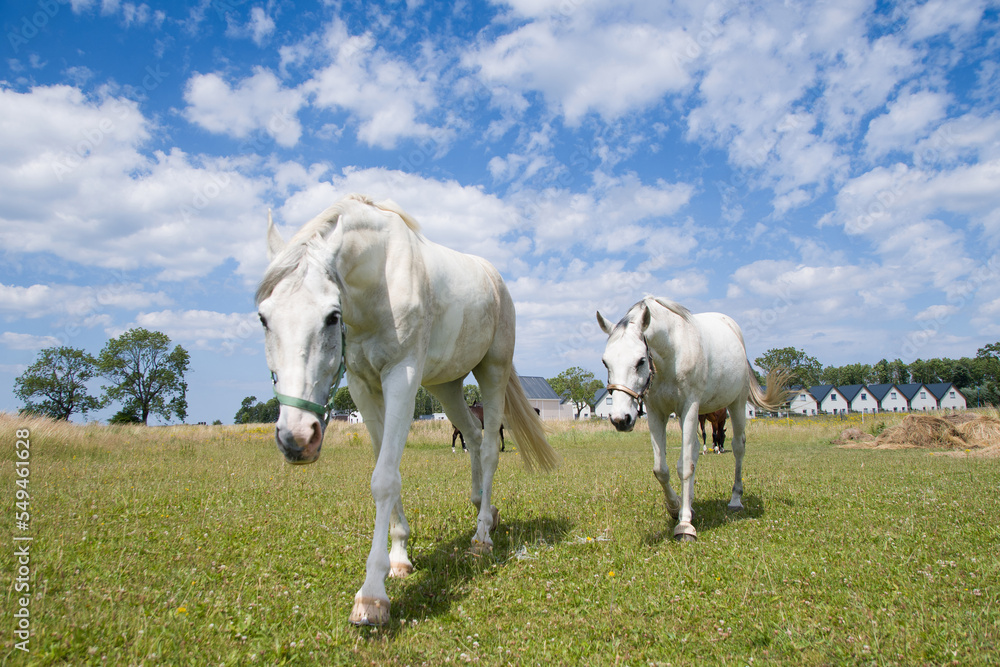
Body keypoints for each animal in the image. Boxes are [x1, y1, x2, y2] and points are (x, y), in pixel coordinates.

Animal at [258, 193, 560, 628]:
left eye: (332, 316)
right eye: (264, 317)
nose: (297, 438)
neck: (379, 279)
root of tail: (495, 278)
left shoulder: (401, 375)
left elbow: (384, 478)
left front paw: (372, 595)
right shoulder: (363, 386)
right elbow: (387, 468)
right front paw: (400, 557)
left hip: (493, 371)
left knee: (488, 449)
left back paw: (482, 535)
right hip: (446, 385)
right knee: (471, 436)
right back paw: (485, 508)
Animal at [592, 298, 788, 544]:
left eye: (641, 361)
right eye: (605, 362)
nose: (620, 419)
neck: (672, 353)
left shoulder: (689, 407)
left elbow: (685, 466)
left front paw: (684, 525)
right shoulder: (657, 413)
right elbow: (662, 469)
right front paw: (675, 507)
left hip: (736, 403)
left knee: (737, 447)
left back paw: (735, 499)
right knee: (694, 449)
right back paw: (690, 503)